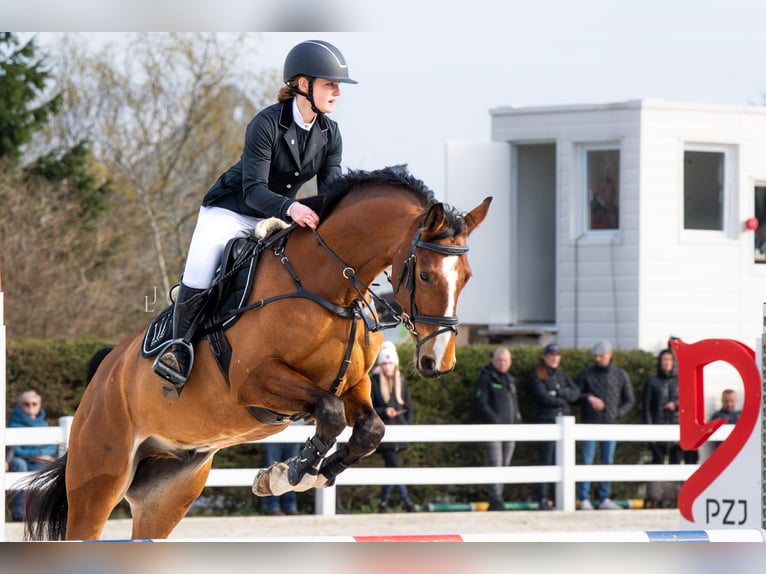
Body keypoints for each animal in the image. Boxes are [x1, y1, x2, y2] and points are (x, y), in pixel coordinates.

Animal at [25, 165, 492, 540]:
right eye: (426, 275)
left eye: (469, 276)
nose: (438, 362)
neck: (328, 287)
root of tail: (104, 373)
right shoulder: (254, 383)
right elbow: (329, 415)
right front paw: (289, 475)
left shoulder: (353, 383)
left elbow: (369, 430)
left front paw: (306, 476)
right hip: (98, 481)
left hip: (168, 492)